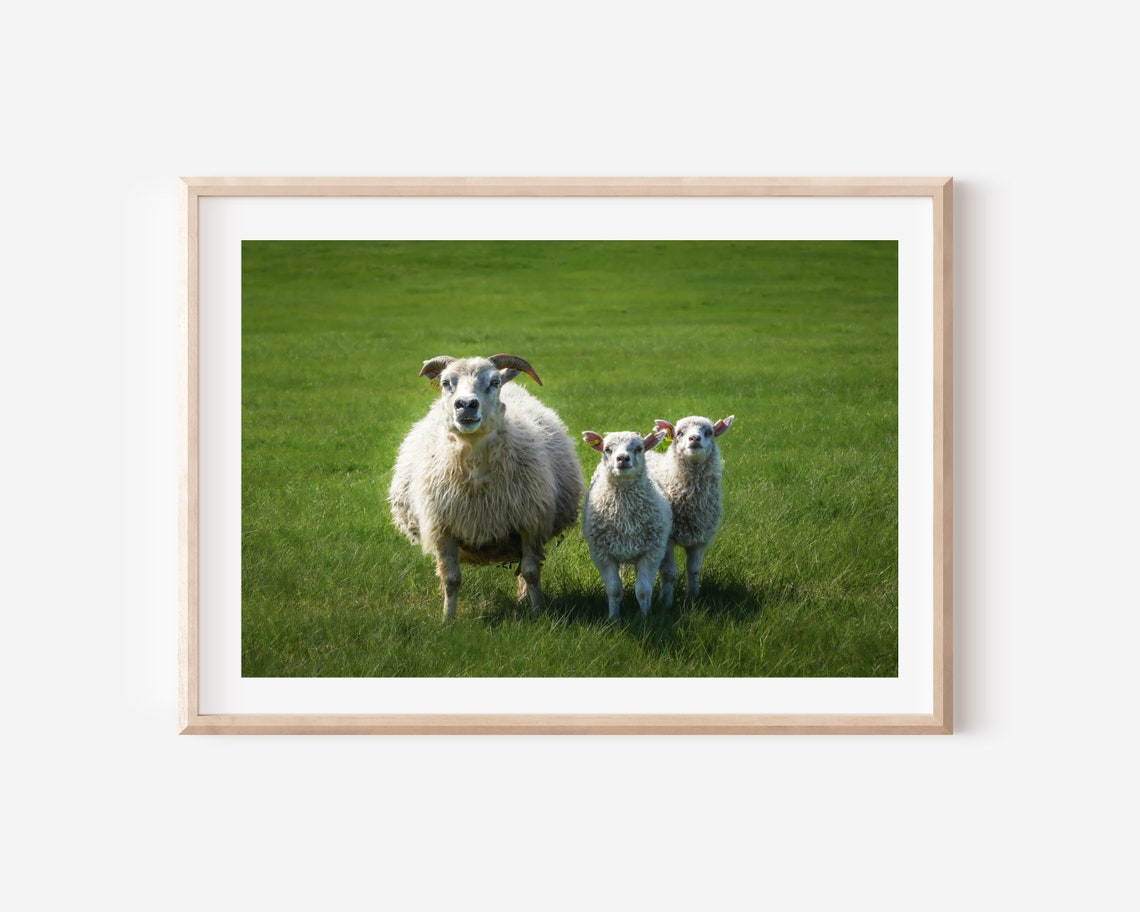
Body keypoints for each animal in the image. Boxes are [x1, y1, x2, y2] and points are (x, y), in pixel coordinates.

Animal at [388, 353, 584, 619]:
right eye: (446, 383)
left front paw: (539, 611)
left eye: (494, 382)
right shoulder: (443, 529)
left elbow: (532, 573)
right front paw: (448, 618)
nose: (466, 405)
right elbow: (451, 579)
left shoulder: (530, 524)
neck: (475, 464)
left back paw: (524, 599)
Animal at [581, 429, 671, 620]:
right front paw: (614, 618)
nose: (622, 458)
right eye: (607, 449)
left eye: (638, 448)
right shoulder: (602, 554)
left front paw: (645, 617)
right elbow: (614, 589)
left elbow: (643, 590)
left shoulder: (651, 552)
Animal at [646, 415, 735, 606]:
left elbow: (694, 569)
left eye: (709, 432)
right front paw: (666, 602)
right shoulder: (668, 538)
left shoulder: (700, 538)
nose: (694, 439)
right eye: (679, 433)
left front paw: (693, 597)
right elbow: (669, 572)